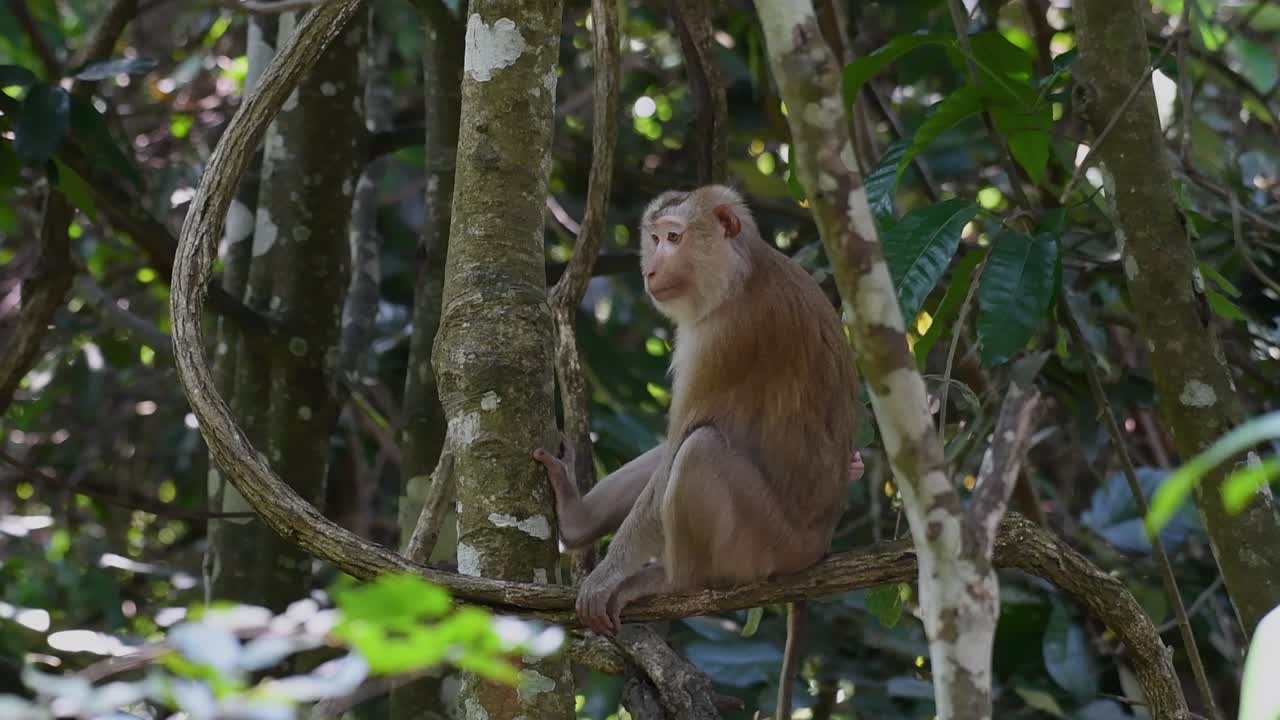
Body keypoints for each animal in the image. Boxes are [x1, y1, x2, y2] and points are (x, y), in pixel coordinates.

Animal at [533, 185, 860, 719]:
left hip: (767, 544)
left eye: (674, 238)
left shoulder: (726, 337)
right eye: (654, 239)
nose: (650, 269)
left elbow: (683, 440)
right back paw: (578, 518)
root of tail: (818, 546)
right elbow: (669, 449)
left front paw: (606, 576)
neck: (741, 272)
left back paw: (674, 581)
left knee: (697, 450)